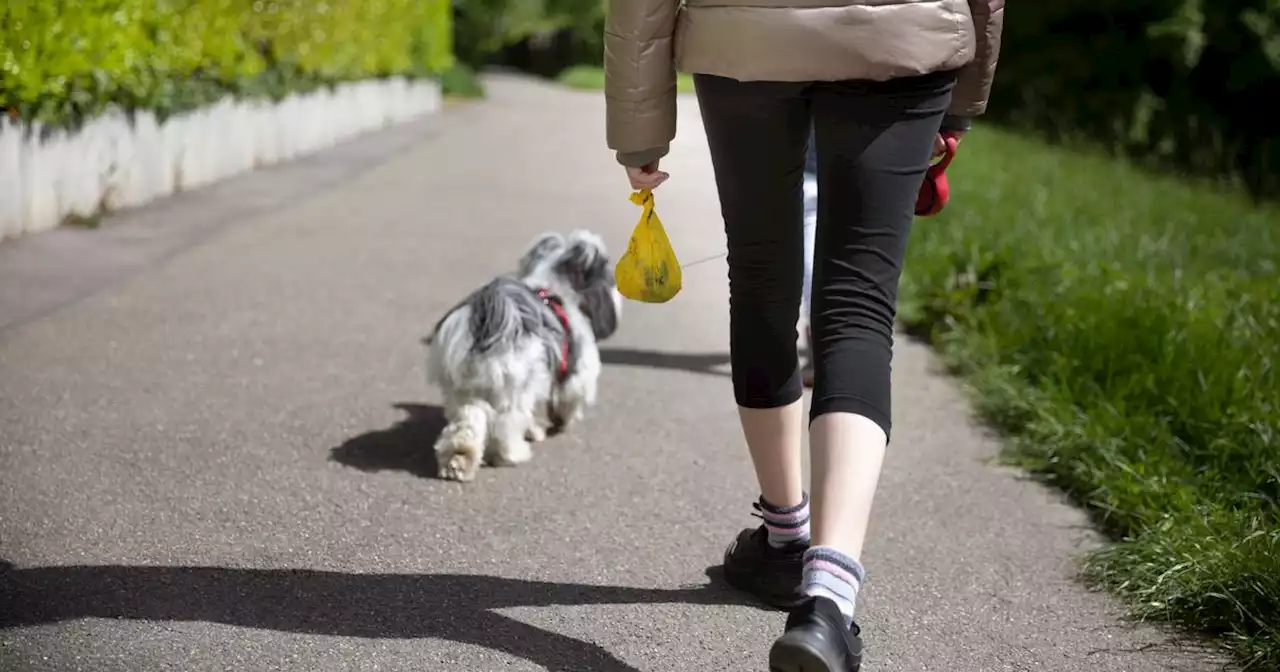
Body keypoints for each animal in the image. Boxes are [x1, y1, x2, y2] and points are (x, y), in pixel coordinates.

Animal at [427, 231, 622, 481]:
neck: (553, 288)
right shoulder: (579, 372)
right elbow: (569, 397)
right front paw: (562, 422)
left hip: (464, 392)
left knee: (465, 425)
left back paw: (458, 462)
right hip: (514, 390)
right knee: (506, 426)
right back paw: (512, 455)